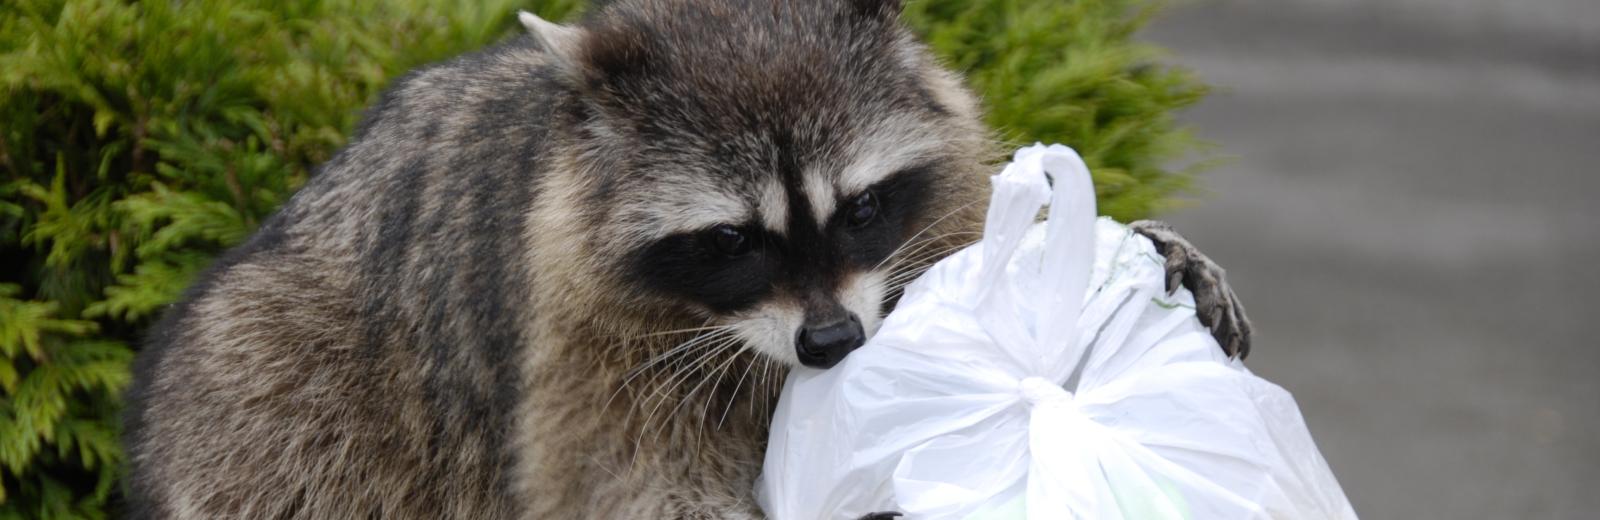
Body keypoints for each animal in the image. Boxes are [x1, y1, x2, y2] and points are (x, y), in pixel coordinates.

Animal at [121, 0, 1248, 515]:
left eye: (861, 208)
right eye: (731, 241)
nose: (831, 342)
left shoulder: (936, 197)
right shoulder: (579, 344)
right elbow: (637, 485)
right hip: (266, 399)